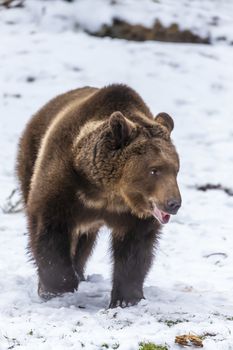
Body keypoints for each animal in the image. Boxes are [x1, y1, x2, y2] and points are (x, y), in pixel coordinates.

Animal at [16, 84, 180, 306]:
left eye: (176, 169)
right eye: (154, 170)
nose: (173, 203)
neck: (107, 192)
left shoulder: (132, 215)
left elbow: (135, 248)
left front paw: (126, 299)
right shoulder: (65, 185)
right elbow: (49, 228)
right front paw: (57, 288)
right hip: (30, 157)